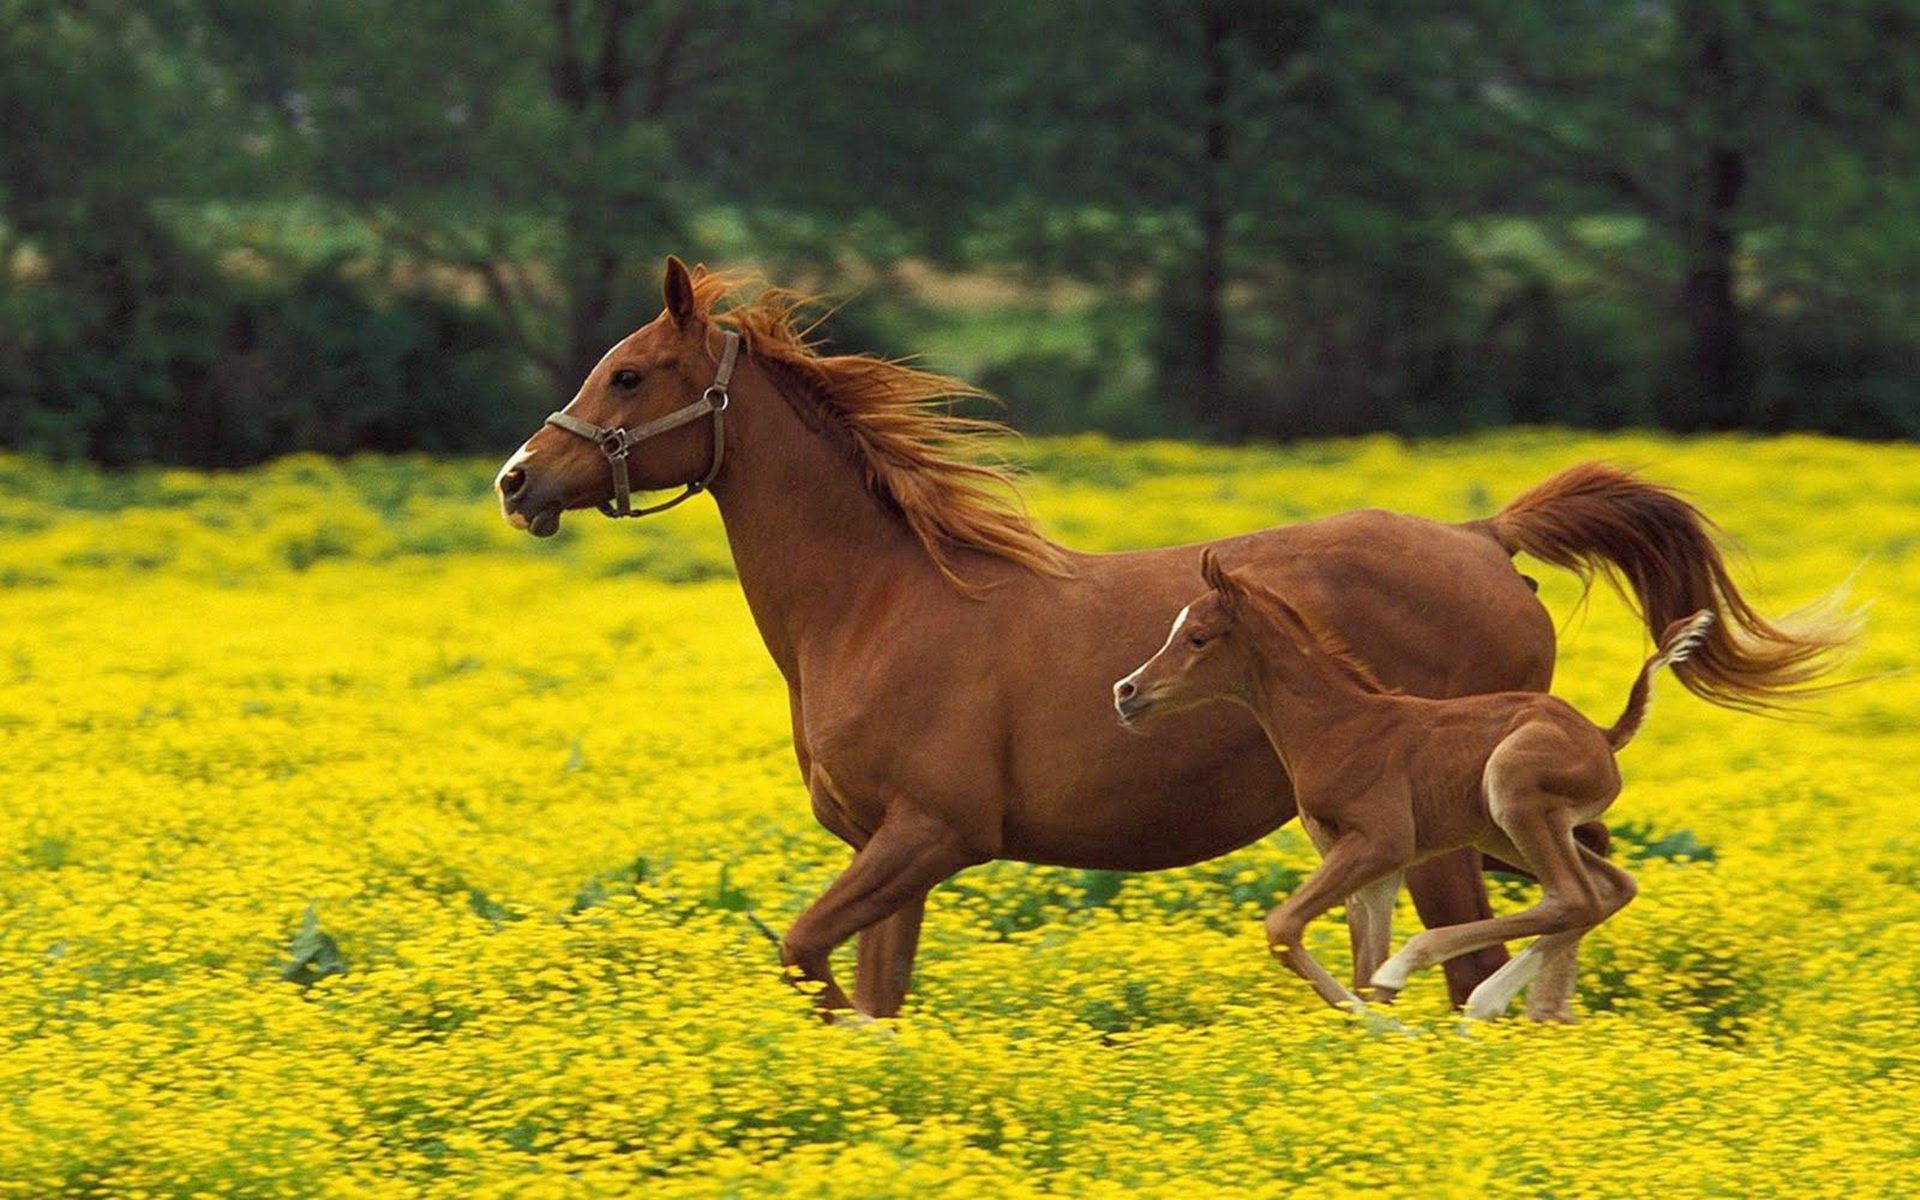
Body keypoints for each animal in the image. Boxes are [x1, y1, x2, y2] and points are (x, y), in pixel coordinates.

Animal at [1116, 549, 1719, 1021]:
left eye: (1197, 638)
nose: (1127, 691)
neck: (1336, 726)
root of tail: (1602, 734)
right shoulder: (1369, 862)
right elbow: (1359, 965)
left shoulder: (1384, 841)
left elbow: (1285, 927)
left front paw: (1384, 1022)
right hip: (1503, 830)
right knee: (1608, 889)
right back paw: (1487, 1002)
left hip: (1512, 790)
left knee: (1572, 896)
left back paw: (1428, 973)